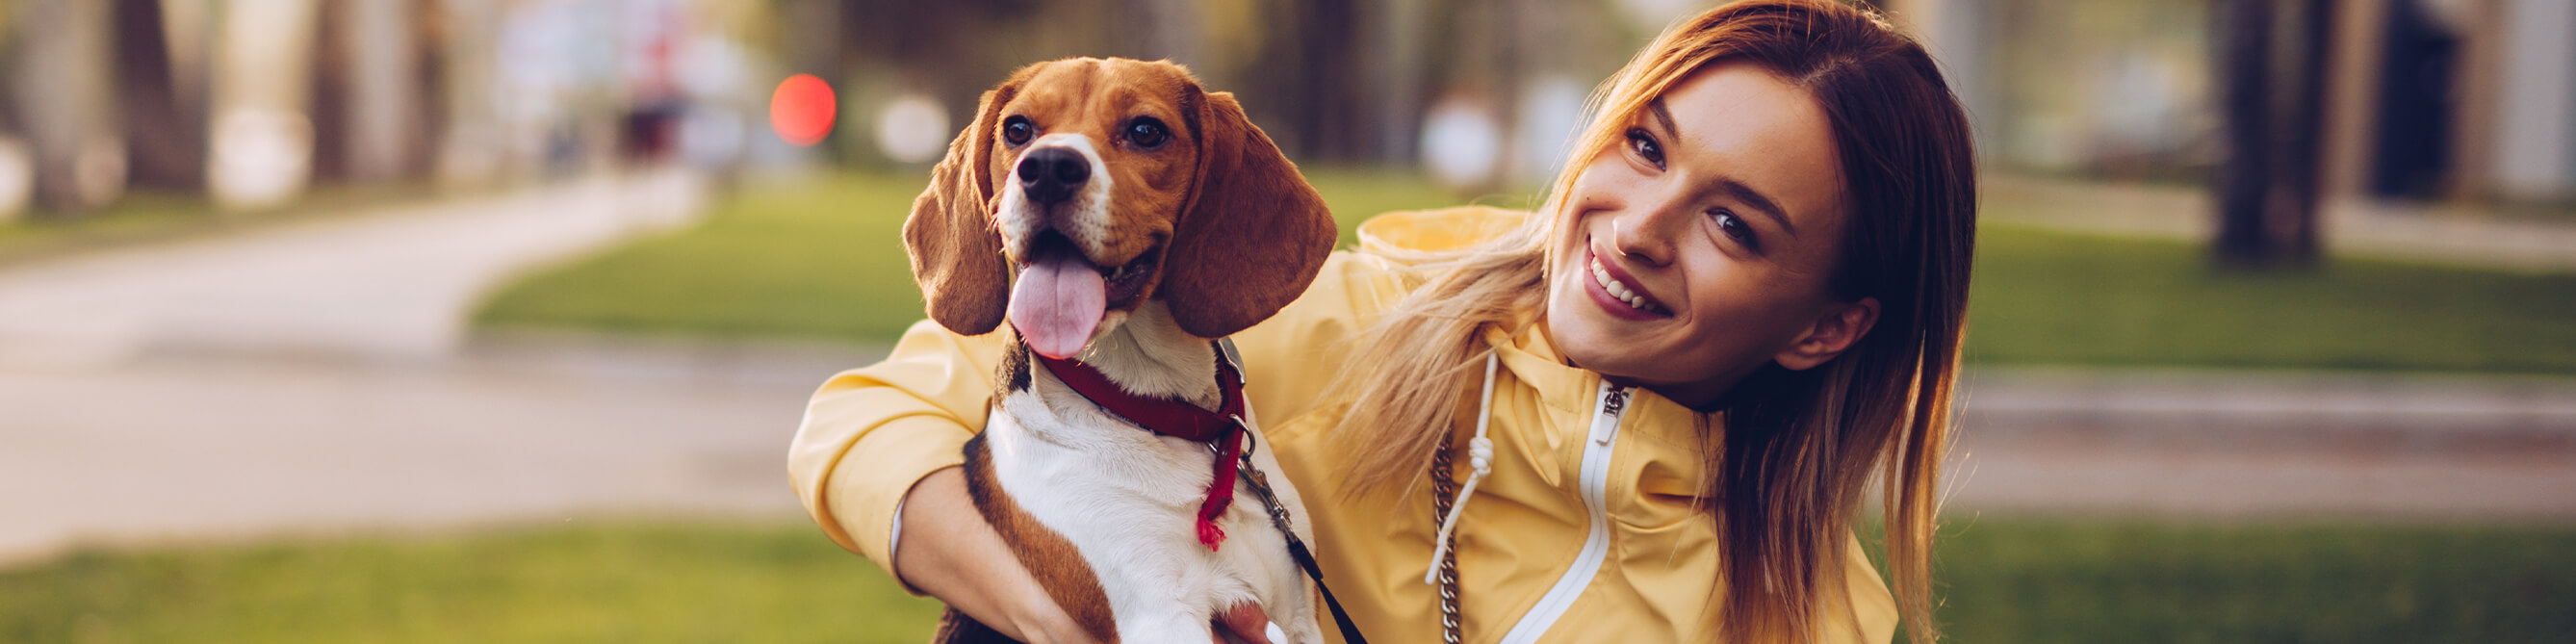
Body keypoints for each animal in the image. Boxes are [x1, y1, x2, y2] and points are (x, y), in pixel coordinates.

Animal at [906, 56, 1339, 644]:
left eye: (1145, 131)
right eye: (1017, 129)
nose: (1047, 168)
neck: (1158, 411)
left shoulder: (1297, 615)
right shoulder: (1158, 614)